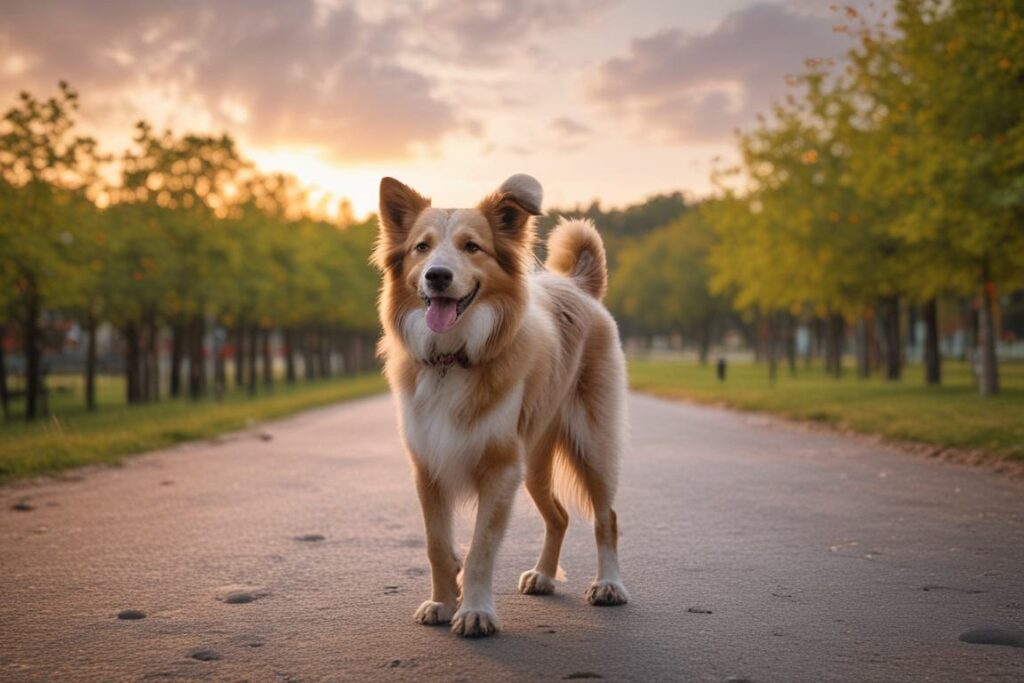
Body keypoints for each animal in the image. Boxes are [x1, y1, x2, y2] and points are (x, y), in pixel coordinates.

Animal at [372, 174, 626, 638]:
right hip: (535, 464)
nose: (437, 276)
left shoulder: (500, 468)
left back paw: (609, 584)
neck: (451, 358)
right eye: (422, 247)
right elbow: (438, 545)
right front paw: (442, 602)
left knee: (607, 518)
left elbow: (480, 550)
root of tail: (577, 285)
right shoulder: (428, 467)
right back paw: (543, 575)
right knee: (559, 516)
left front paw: (474, 611)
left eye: (472, 246)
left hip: (592, 446)